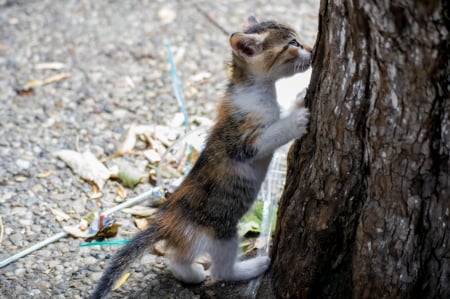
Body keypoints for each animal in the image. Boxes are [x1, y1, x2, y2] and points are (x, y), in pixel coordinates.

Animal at [89, 17, 312, 299]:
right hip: (222, 230)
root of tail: (166, 219)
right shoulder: (241, 143)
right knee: (220, 271)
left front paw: (298, 100)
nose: (312, 49)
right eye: (293, 43)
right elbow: (271, 134)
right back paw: (250, 267)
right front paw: (296, 120)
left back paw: (192, 274)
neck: (257, 91)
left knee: (177, 260)